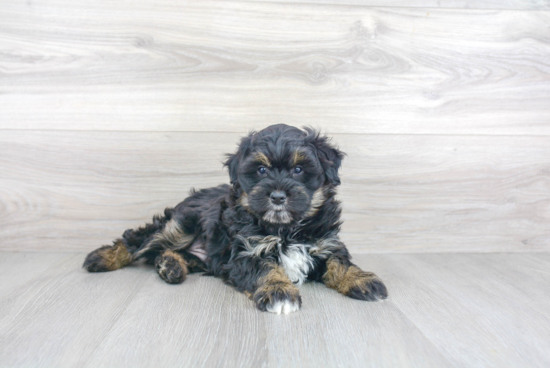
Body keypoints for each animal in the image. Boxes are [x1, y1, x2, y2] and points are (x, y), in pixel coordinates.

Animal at [84, 125, 390, 314]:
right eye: (262, 170)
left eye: (299, 169)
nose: (278, 196)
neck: (285, 229)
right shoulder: (245, 252)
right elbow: (265, 269)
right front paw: (279, 291)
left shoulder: (325, 244)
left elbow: (340, 262)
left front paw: (361, 279)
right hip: (181, 224)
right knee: (138, 240)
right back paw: (103, 257)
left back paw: (170, 266)